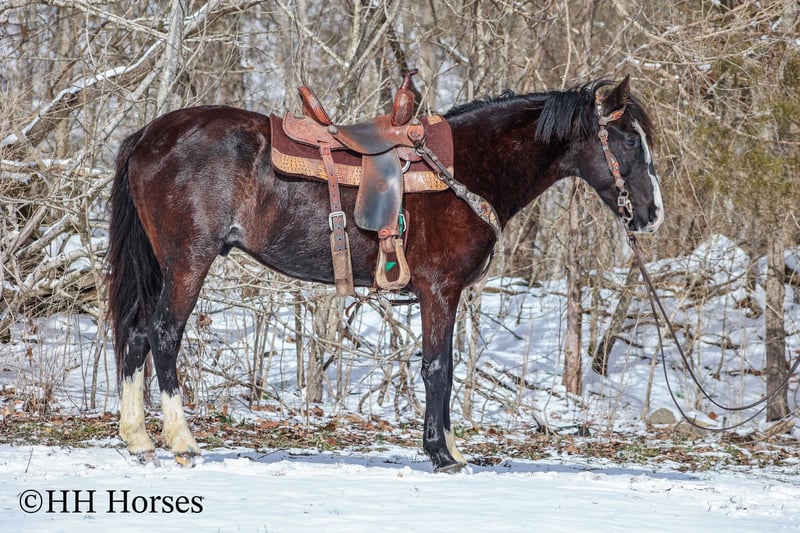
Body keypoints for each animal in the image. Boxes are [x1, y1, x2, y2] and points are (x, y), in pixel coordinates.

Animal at [106, 75, 664, 472]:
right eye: (627, 142)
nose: (652, 214)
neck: (463, 169)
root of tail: (149, 135)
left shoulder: (441, 294)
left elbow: (444, 367)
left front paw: (450, 449)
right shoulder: (439, 290)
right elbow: (439, 368)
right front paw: (442, 454)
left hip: (160, 264)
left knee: (135, 335)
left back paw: (138, 440)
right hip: (188, 261)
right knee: (164, 334)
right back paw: (181, 441)